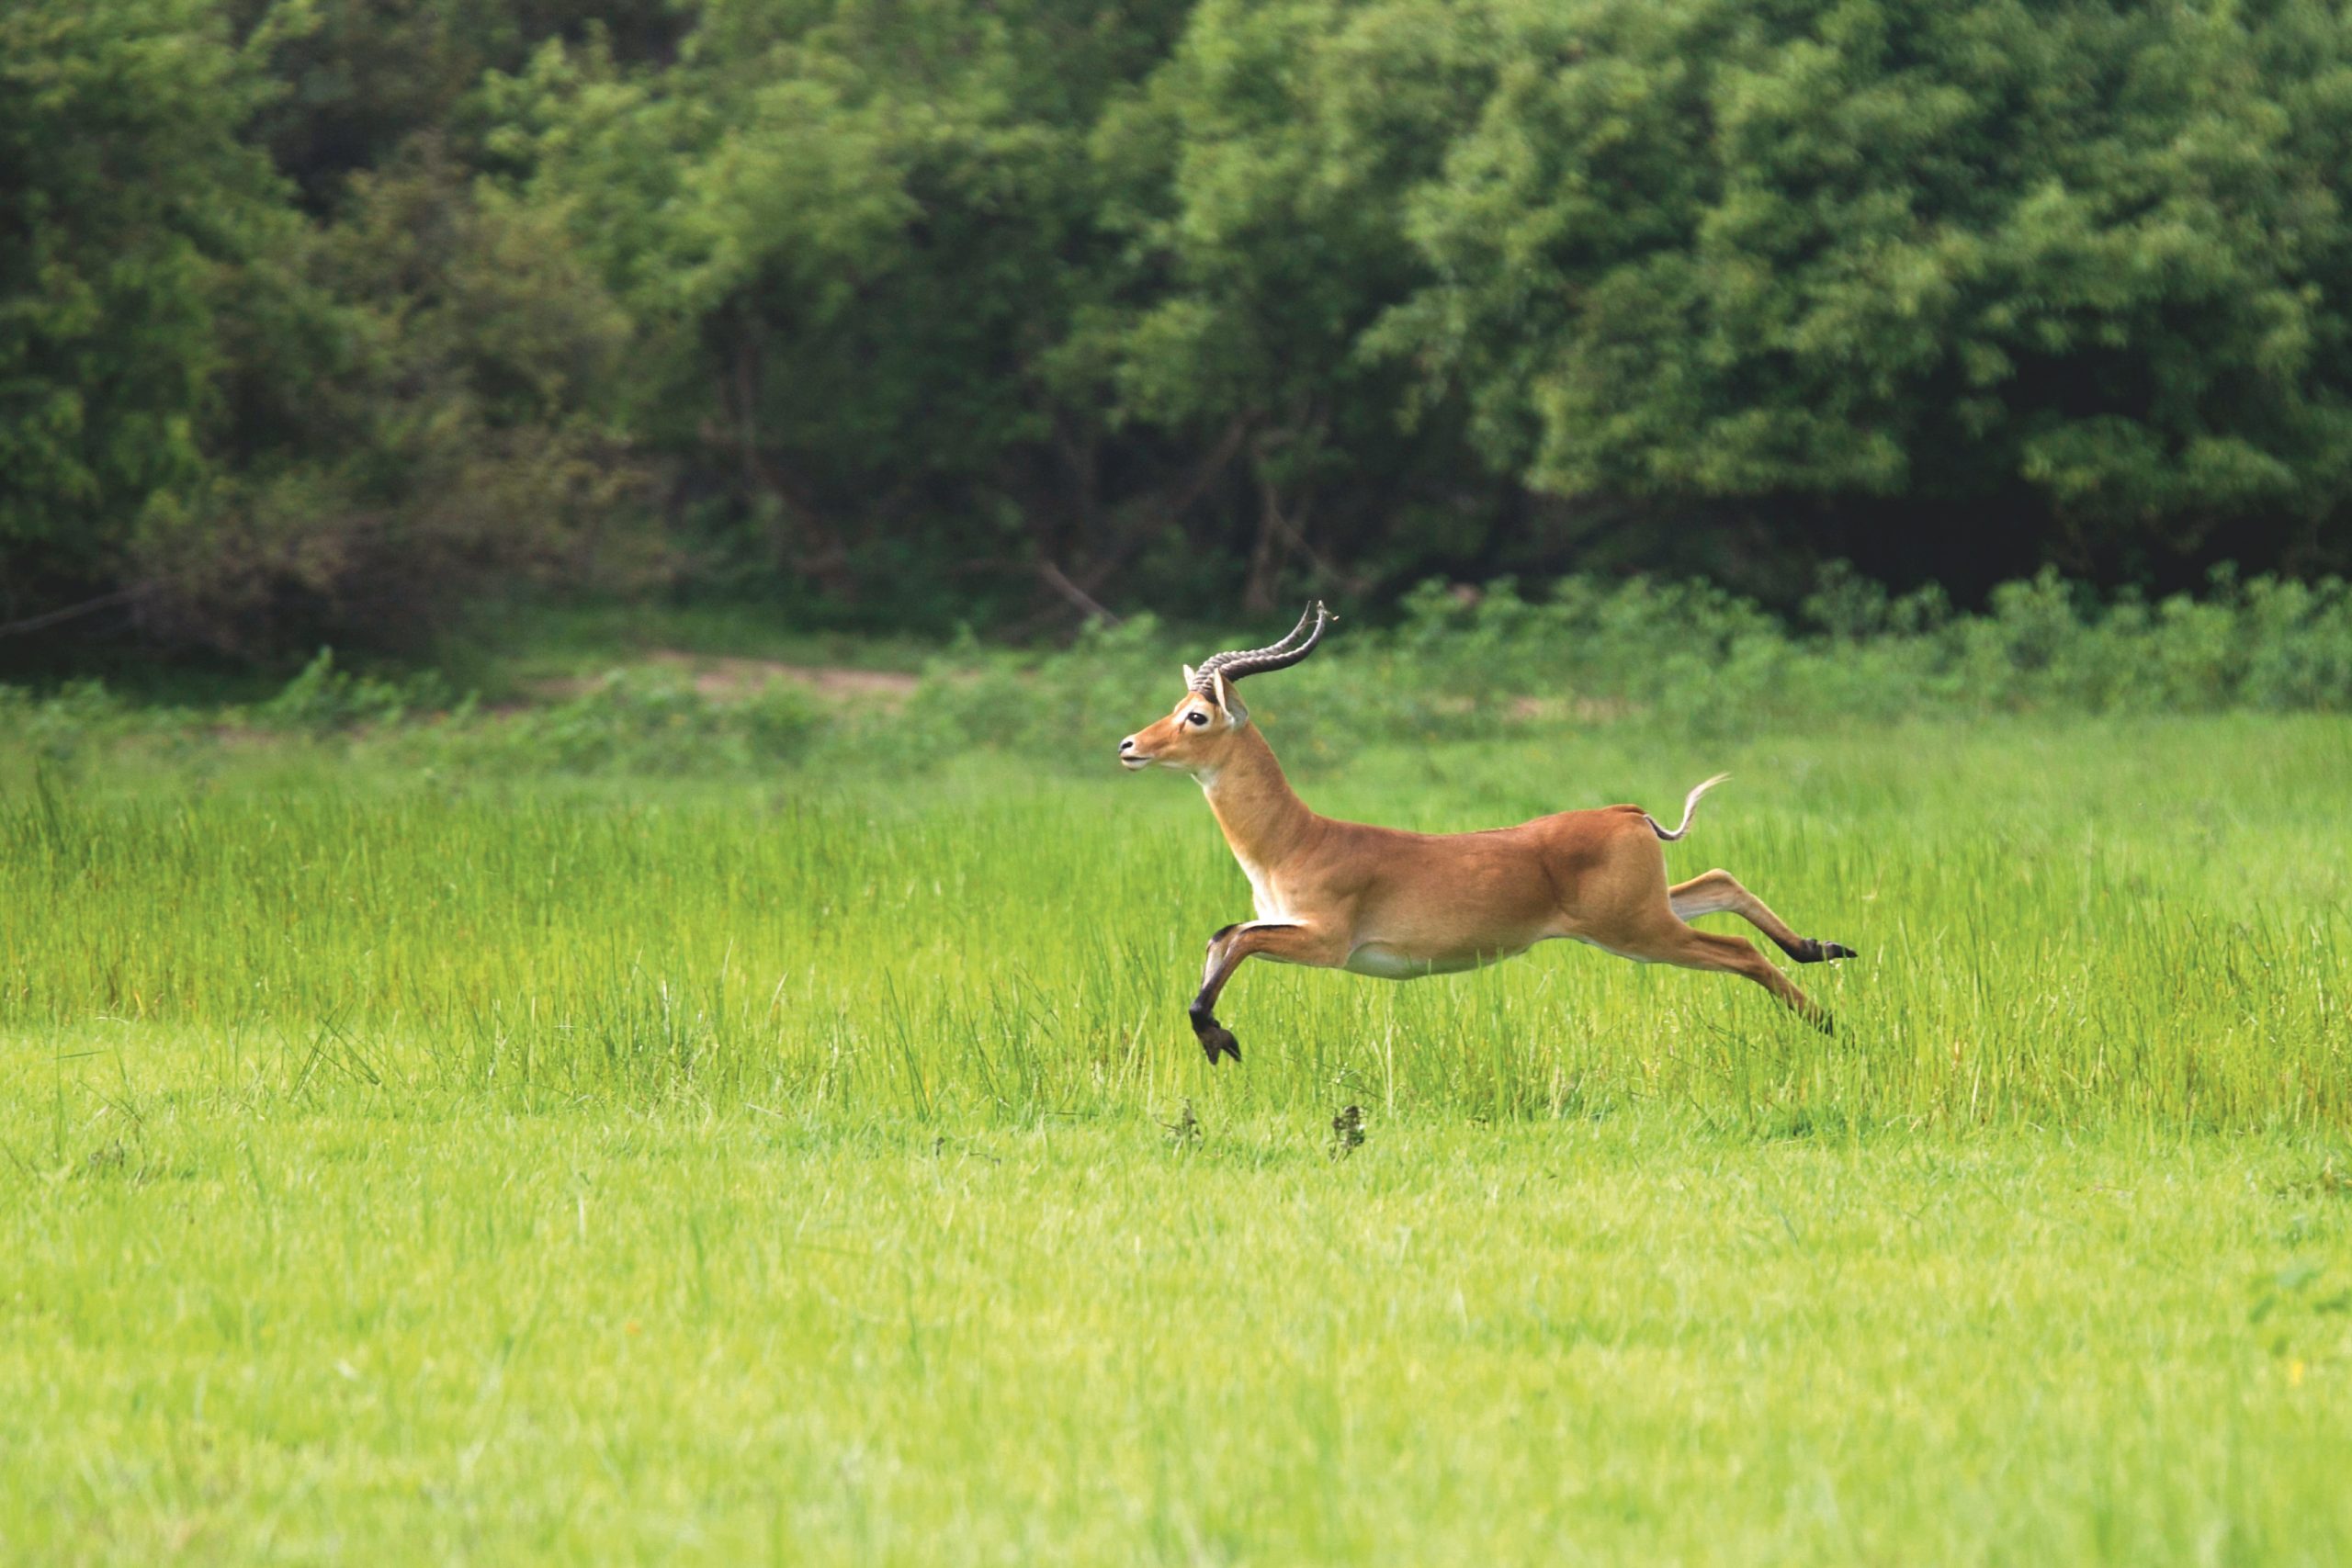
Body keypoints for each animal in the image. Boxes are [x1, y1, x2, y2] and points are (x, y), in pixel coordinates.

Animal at [1118, 602, 1855, 1063]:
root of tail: (1628, 814)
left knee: (1739, 949)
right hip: (1644, 915)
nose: (1129, 746)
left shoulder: (1326, 942)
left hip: (1641, 933)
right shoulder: (1285, 926)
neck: (1297, 839)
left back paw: (1835, 1026)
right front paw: (1217, 1036)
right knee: (1723, 882)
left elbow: (1236, 939)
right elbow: (1222, 935)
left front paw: (1219, 1037)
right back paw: (1823, 949)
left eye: (1196, 716)